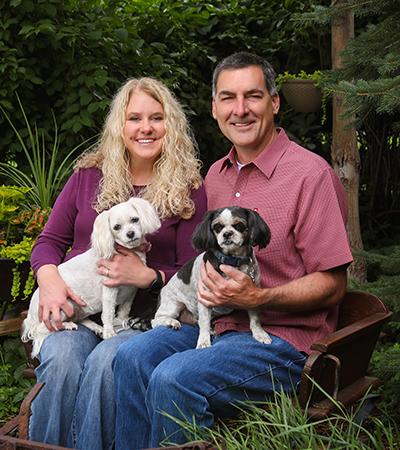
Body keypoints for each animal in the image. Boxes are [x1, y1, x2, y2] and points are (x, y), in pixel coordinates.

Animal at [21, 197, 161, 358]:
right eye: (117, 227)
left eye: (135, 219)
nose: (131, 233)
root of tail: (30, 316)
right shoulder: (109, 289)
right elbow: (108, 313)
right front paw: (109, 332)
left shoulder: (131, 293)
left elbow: (124, 312)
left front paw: (120, 323)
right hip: (64, 305)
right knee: (43, 328)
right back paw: (67, 325)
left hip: (78, 308)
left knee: (81, 319)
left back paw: (95, 327)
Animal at [152, 206, 274, 350]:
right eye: (217, 227)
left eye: (239, 225)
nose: (227, 234)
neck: (233, 260)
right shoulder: (205, 298)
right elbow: (204, 323)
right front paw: (203, 342)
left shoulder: (252, 295)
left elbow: (255, 318)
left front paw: (259, 333)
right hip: (173, 304)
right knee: (156, 320)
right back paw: (171, 322)